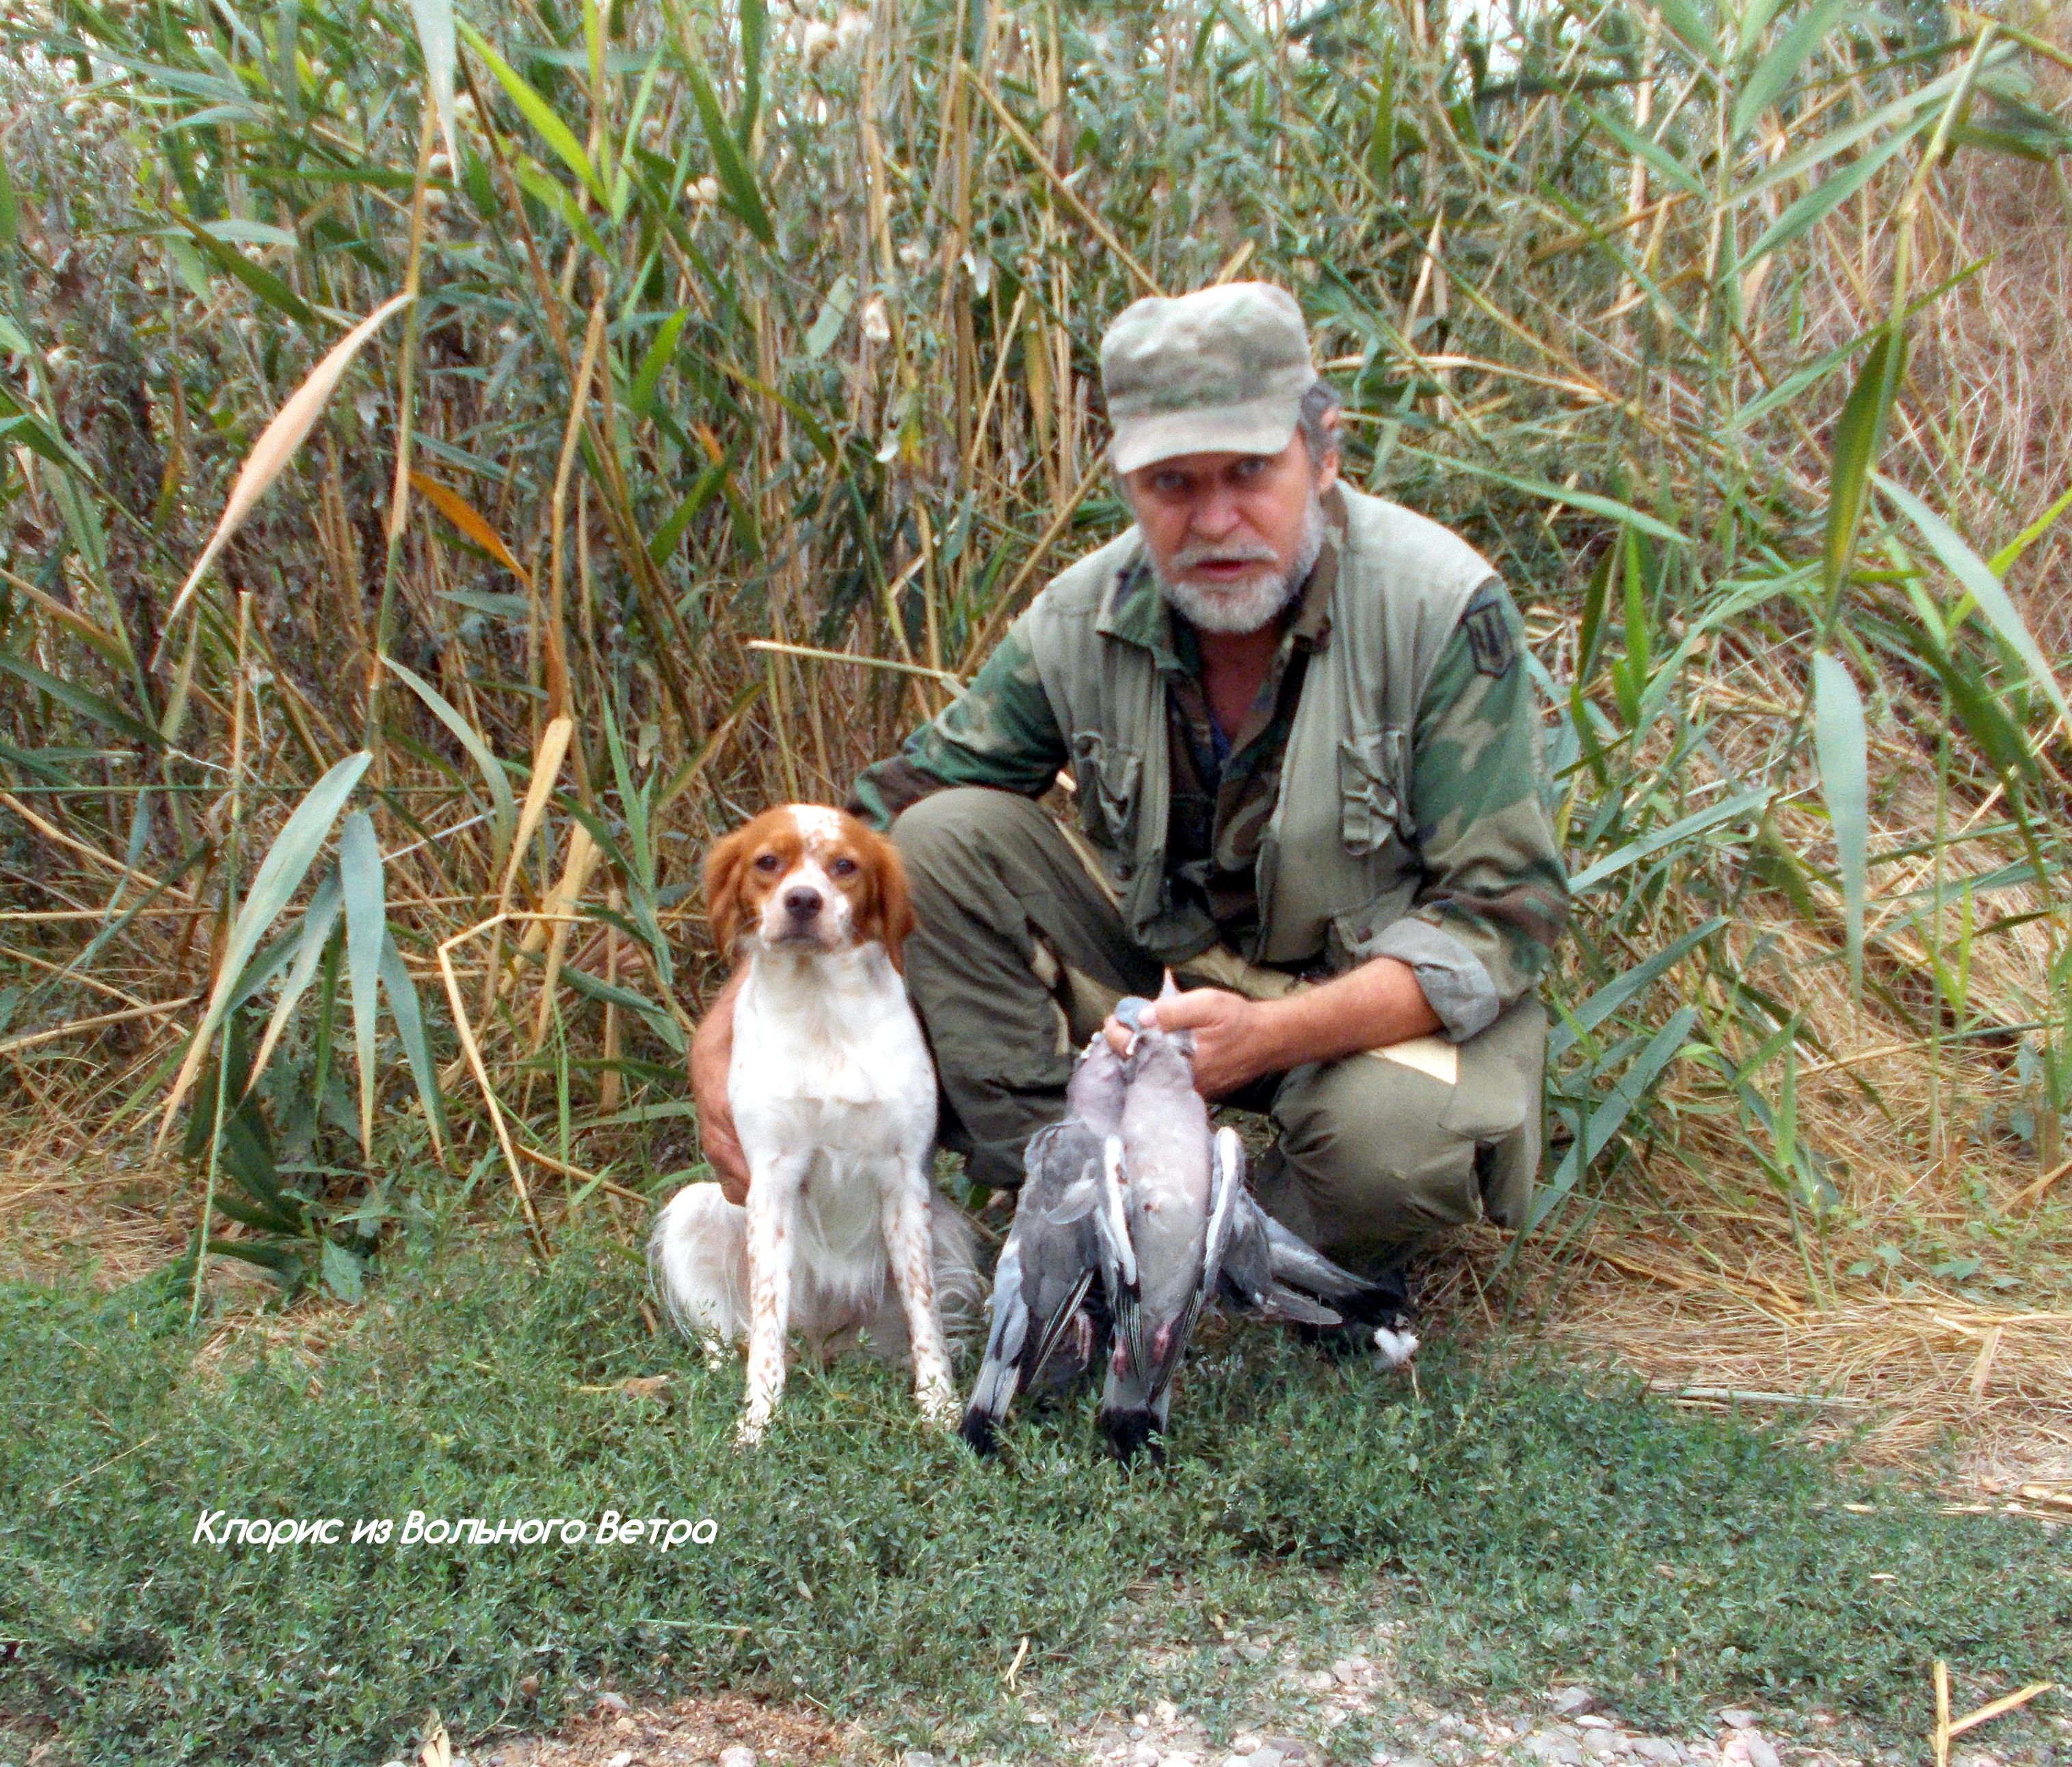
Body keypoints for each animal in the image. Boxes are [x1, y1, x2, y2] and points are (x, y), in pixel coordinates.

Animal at [647, 804, 977, 1445]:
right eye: (767, 861)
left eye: (844, 865)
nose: (803, 900)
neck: (822, 1010)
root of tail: (828, 1341)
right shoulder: (770, 1180)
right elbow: (767, 1325)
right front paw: (758, 1422)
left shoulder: (904, 1179)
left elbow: (925, 1314)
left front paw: (939, 1407)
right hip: (693, 1209)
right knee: (732, 1341)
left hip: (949, 1230)